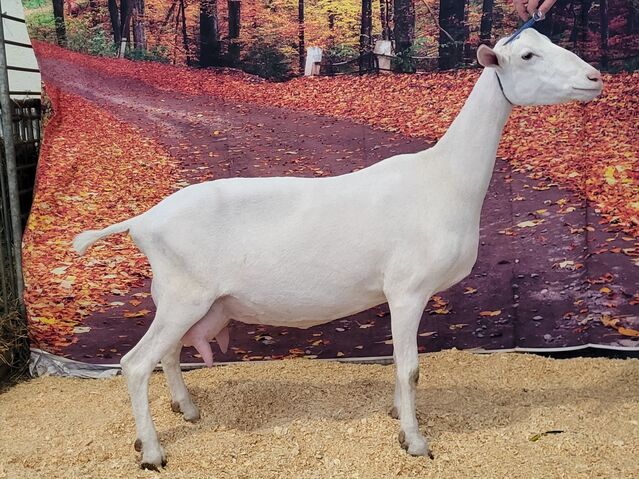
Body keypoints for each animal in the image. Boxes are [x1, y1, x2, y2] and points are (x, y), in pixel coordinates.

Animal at [72, 29, 604, 468]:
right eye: (528, 55)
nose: (594, 77)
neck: (444, 178)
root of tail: (143, 220)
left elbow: (402, 370)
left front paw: (396, 415)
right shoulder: (407, 290)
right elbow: (410, 368)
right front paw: (415, 441)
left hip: (177, 298)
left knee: (166, 356)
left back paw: (187, 410)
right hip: (184, 294)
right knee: (135, 364)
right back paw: (152, 452)